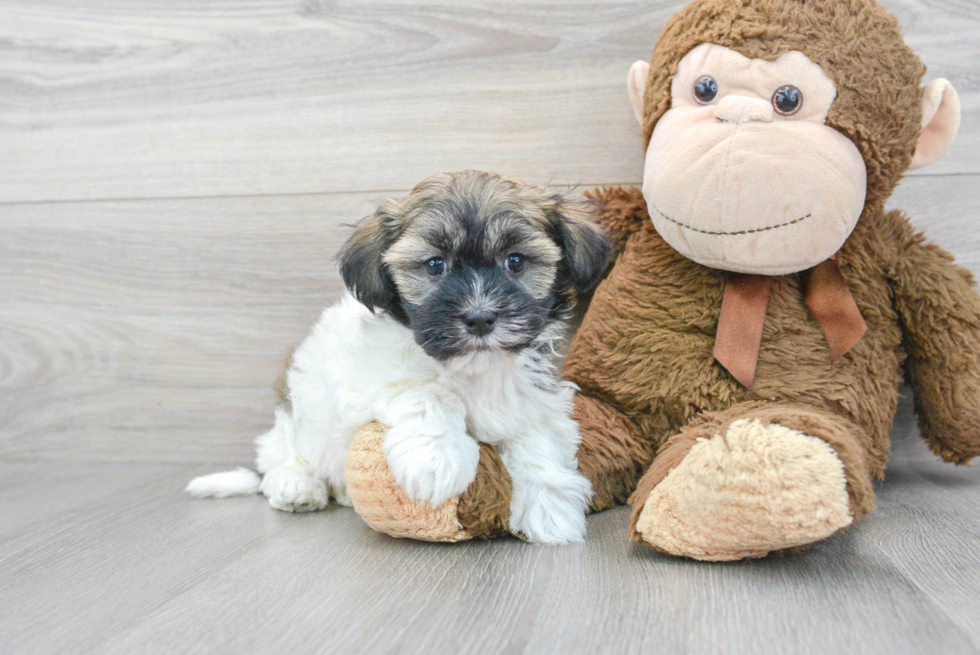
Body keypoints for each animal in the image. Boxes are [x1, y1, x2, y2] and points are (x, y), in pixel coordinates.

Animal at [187, 172, 608, 544]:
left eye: (516, 262)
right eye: (435, 264)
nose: (479, 317)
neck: (471, 370)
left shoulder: (533, 396)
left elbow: (538, 437)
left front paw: (549, 507)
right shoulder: (371, 377)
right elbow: (427, 394)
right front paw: (438, 459)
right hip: (295, 417)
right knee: (283, 455)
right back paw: (298, 486)